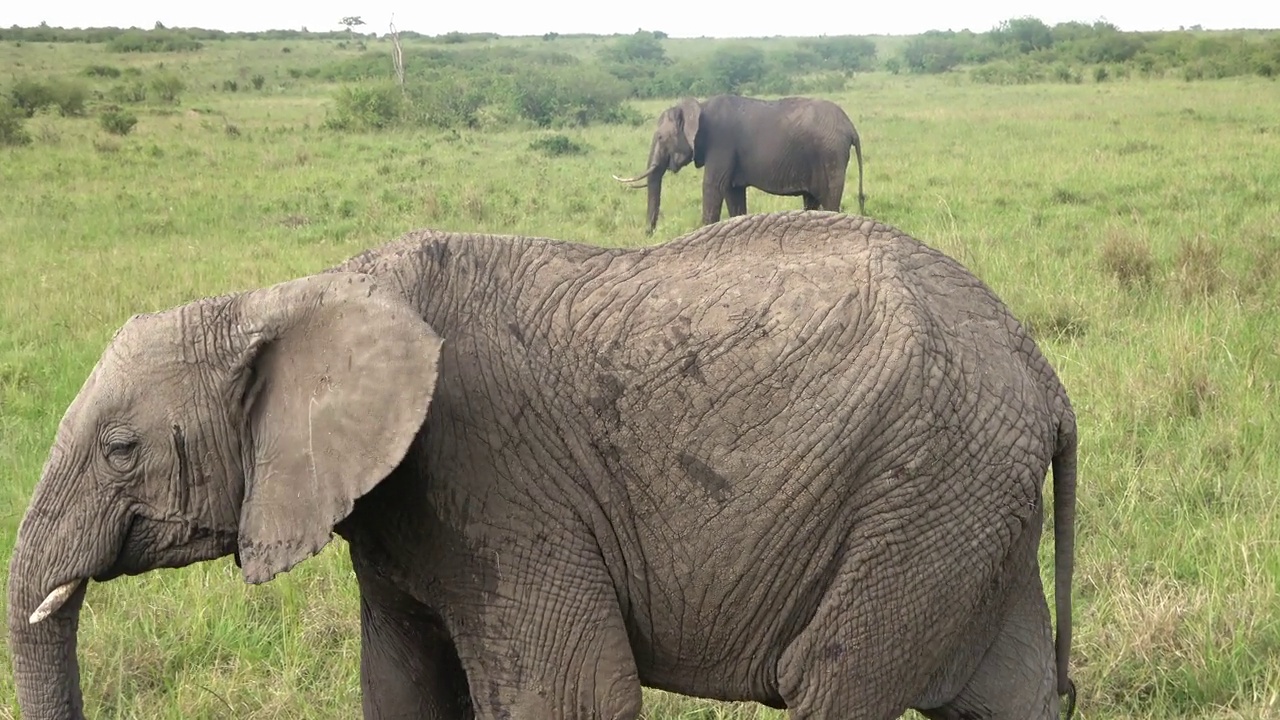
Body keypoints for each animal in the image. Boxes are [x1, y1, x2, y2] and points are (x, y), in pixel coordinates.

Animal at [10, 208, 1075, 717]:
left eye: (119, 451)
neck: (301, 292)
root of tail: (1045, 378)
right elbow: (403, 690)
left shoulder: (497, 484)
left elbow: (570, 697)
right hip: (969, 502)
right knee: (1008, 699)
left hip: (925, 487)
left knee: (832, 684)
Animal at [611, 94, 870, 234]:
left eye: (660, 138)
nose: (649, 234)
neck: (699, 106)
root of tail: (851, 128)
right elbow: (732, 193)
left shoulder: (721, 144)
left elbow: (713, 187)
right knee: (811, 200)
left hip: (830, 155)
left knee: (829, 200)